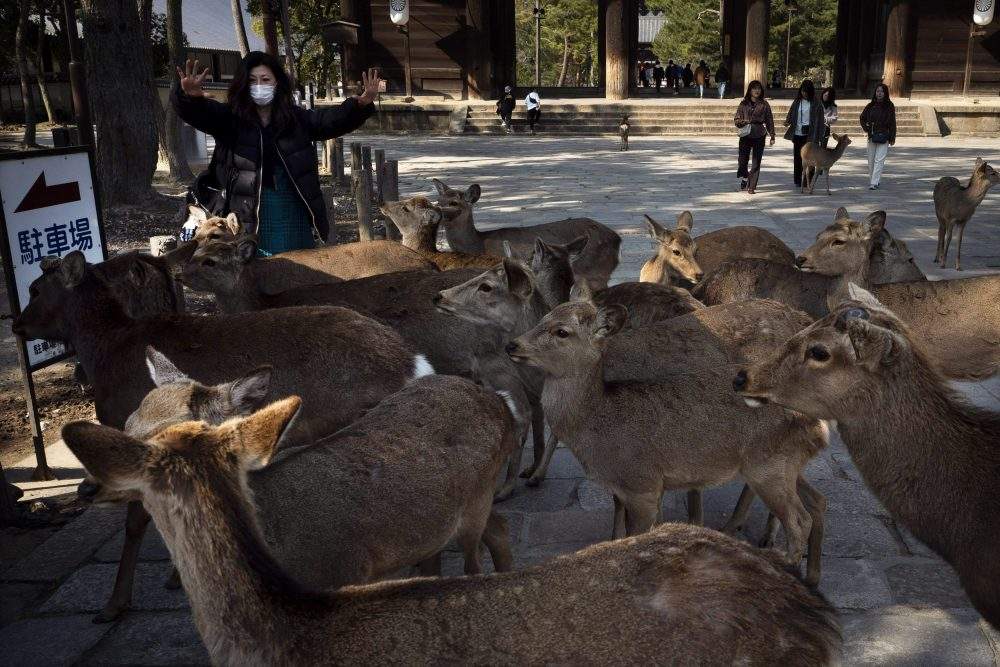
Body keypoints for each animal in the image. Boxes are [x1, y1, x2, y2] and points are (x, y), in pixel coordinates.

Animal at [10, 250, 425, 622]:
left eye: (34, 288)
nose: (16, 326)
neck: (106, 354)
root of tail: (410, 361)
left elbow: (135, 522)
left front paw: (114, 605)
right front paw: (172, 577)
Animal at [432, 178, 622, 289]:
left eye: (454, 202)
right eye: (438, 200)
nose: (437, 213)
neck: (478, 244)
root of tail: (618, 239)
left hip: (595, 273)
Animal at [505, 296, 828, 584]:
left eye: (561, 331)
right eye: (542, 317)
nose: (512, 344)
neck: (596, 427)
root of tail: (820, 426)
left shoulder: (643, 483)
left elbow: (635, 537)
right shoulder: (626, 486)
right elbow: (618, 527)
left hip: (767, 466)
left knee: (799, 520)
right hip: (783, 464)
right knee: (818, 500)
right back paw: (810, 575)